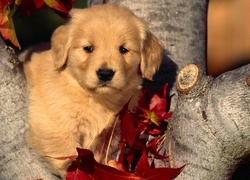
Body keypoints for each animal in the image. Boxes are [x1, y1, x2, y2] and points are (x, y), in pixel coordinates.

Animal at [20, 3, 163, 178]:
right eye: (88, 48)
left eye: (123, 49)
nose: (105, 74)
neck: (95, 97)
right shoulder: (54, 126)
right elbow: (69, 159)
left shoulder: (112, 133)